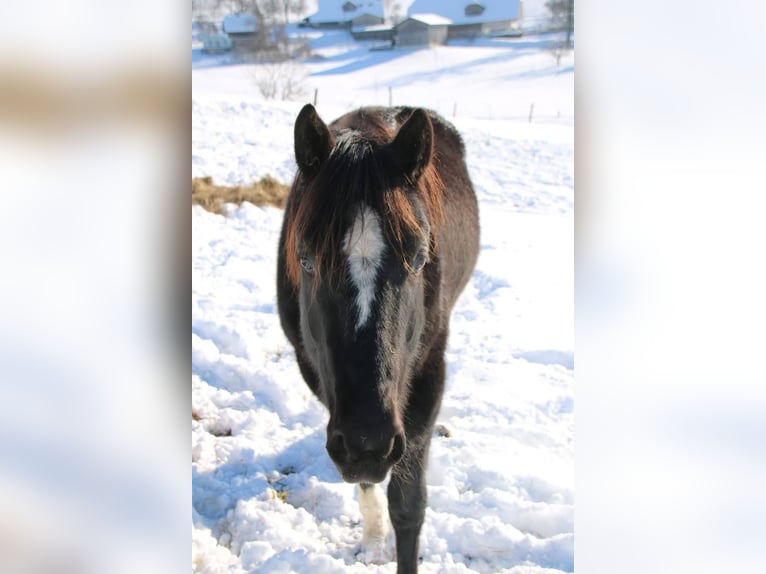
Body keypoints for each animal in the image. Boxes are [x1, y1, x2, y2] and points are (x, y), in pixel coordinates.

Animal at [276, 104, 479, 573]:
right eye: (306, 260)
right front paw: (371, 538)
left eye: (420, 259)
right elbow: (366, 482)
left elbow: (408, 507)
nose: (368, 442)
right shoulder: (319, 375)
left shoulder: (427, 376)